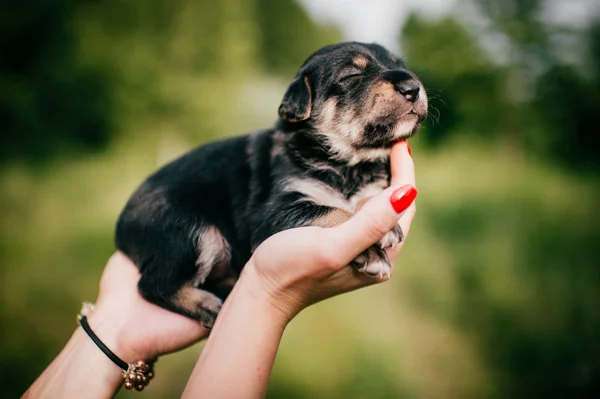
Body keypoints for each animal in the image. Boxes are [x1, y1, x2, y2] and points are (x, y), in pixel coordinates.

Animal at [116, 42, 426, 328]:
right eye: (351, 75)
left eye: (398, 64)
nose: (412, 87)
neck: (346, 164)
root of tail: (120, 228)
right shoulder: (272, 212)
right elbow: (331, 211)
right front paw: (377, 245)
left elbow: (363, 200)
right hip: (190, 231)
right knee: (151, 285)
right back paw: (209, 306)